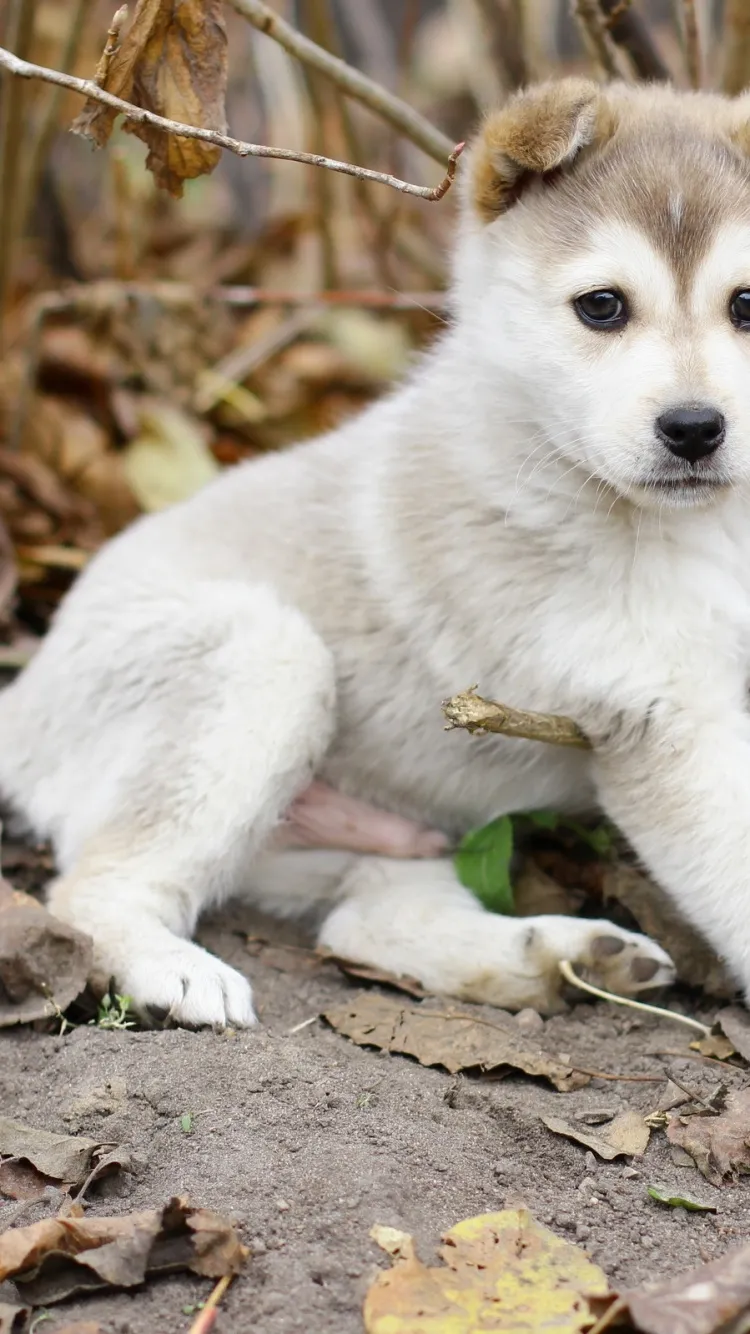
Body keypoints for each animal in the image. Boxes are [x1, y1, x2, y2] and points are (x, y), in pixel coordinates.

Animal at [5, 75, 747, 1029]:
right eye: (602, 306)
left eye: (747, 305)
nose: (695, 429)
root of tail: (22, 692)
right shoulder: (667, 720)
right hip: (263, 660)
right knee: (96, 889)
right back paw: (176, 973)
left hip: (380, 838)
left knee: (365, 923)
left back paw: (562, 959)